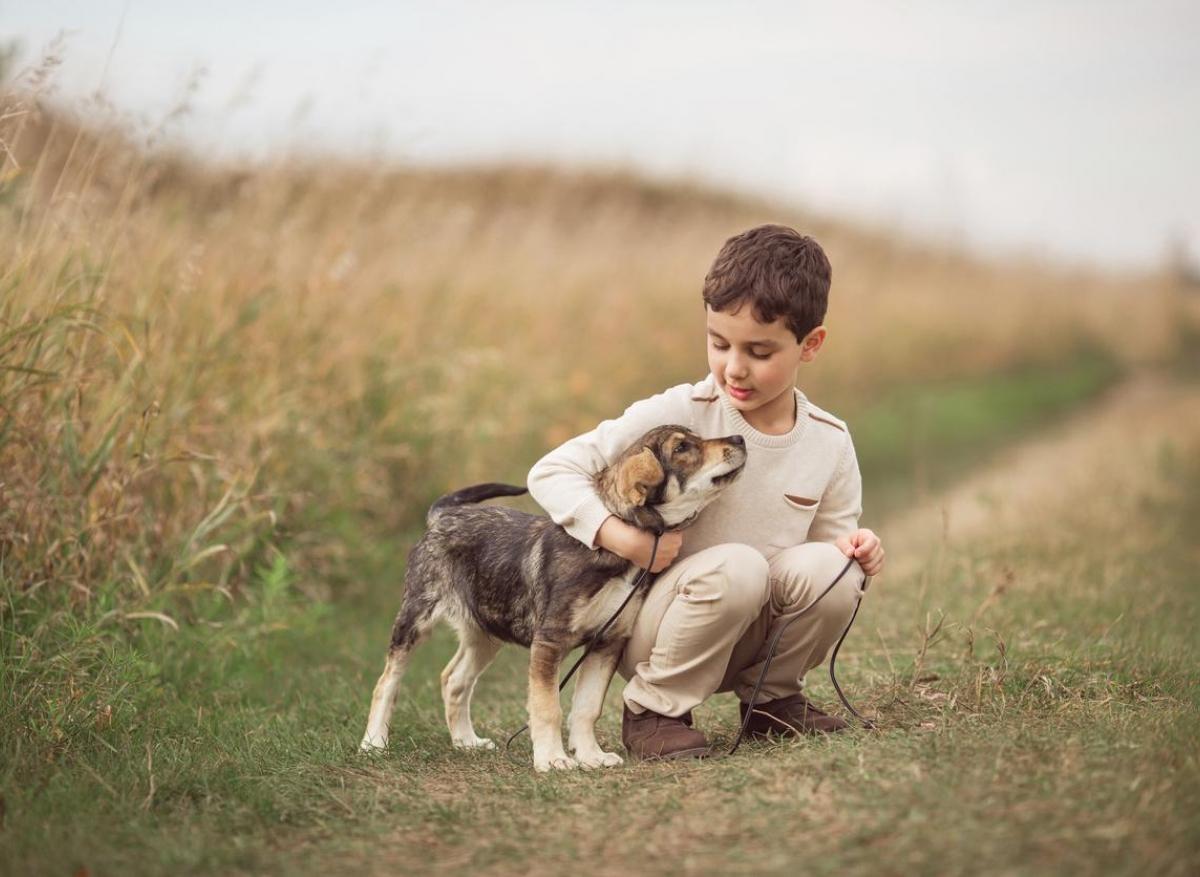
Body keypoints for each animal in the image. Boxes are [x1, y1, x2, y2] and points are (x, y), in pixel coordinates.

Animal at [360, 429, 744, 772]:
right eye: (682, 447)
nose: (739, 439)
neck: (617, 551)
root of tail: (443, 515)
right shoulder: (549, 642)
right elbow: (548, 708)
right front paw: (552, 759)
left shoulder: (607, 641)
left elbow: (587, 707)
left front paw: (590, 756)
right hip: (416, 617)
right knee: (387, 681)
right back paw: (374, 743)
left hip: (486, 631)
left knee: (454, 680)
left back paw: (466, 742)